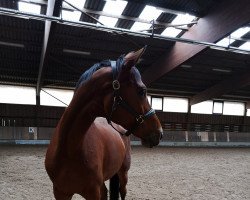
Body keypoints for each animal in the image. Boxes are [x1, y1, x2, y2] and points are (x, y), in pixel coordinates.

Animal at [45, 47, 163, 200]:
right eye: (142, 91)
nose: (160, 133)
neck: (69, 150)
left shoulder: (92, 192)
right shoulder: (61, 192)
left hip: (123, 172)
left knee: (122, 191)